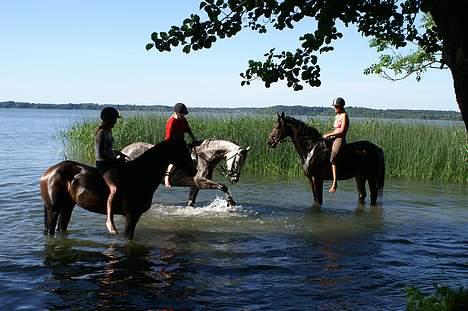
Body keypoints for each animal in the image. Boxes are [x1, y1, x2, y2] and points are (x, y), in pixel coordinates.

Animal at [38, 140, 196, 240]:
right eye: (183, 152)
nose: (194, 171)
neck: (140, 174)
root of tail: (48, 173)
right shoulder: (131, 215)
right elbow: (128, 237)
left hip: (67, 207)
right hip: (53, 209)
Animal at [122, 140, 250, 208]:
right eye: (237, 162)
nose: (235, 179)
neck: (206, 156)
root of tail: (125, 151)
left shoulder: (195, 185)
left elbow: (191, 202)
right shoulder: (200, 182)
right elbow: (222, 186)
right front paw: (230, 202)